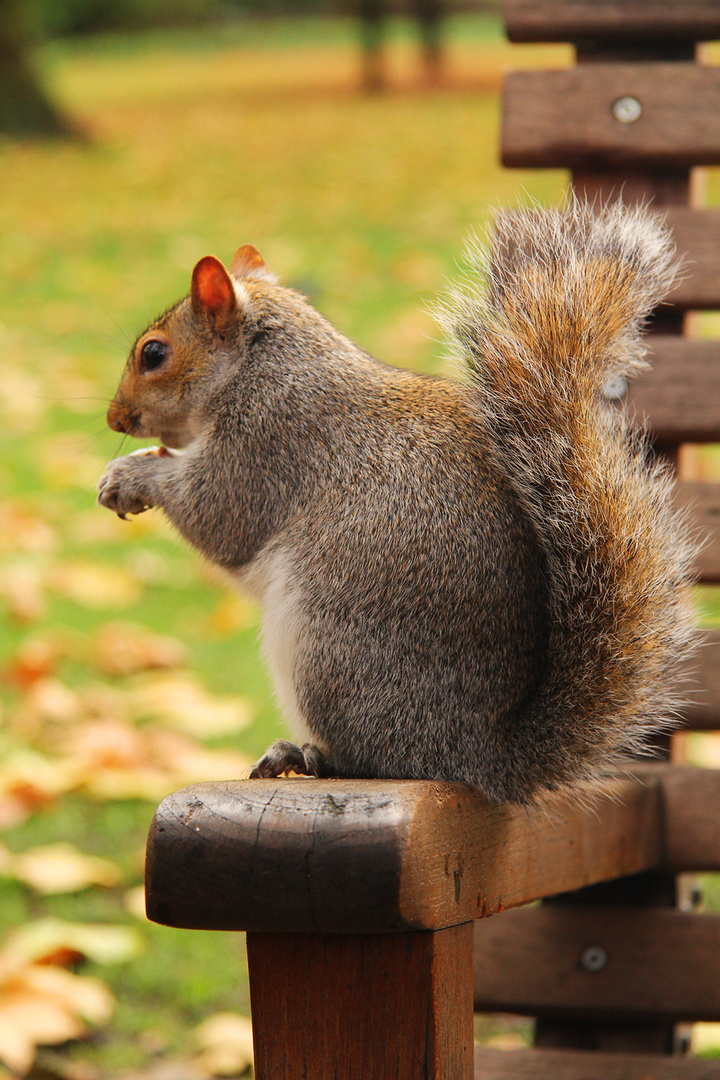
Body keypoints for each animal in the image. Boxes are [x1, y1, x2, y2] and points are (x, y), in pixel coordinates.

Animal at [95, 200, 699, 803]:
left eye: (154, 353)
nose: (114, 418)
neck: (262, 364)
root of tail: (478, 757)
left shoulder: (267, 442)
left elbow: (217, 514)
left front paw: (131, 474)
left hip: (328, 652)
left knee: (370, 758)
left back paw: (305, 755)